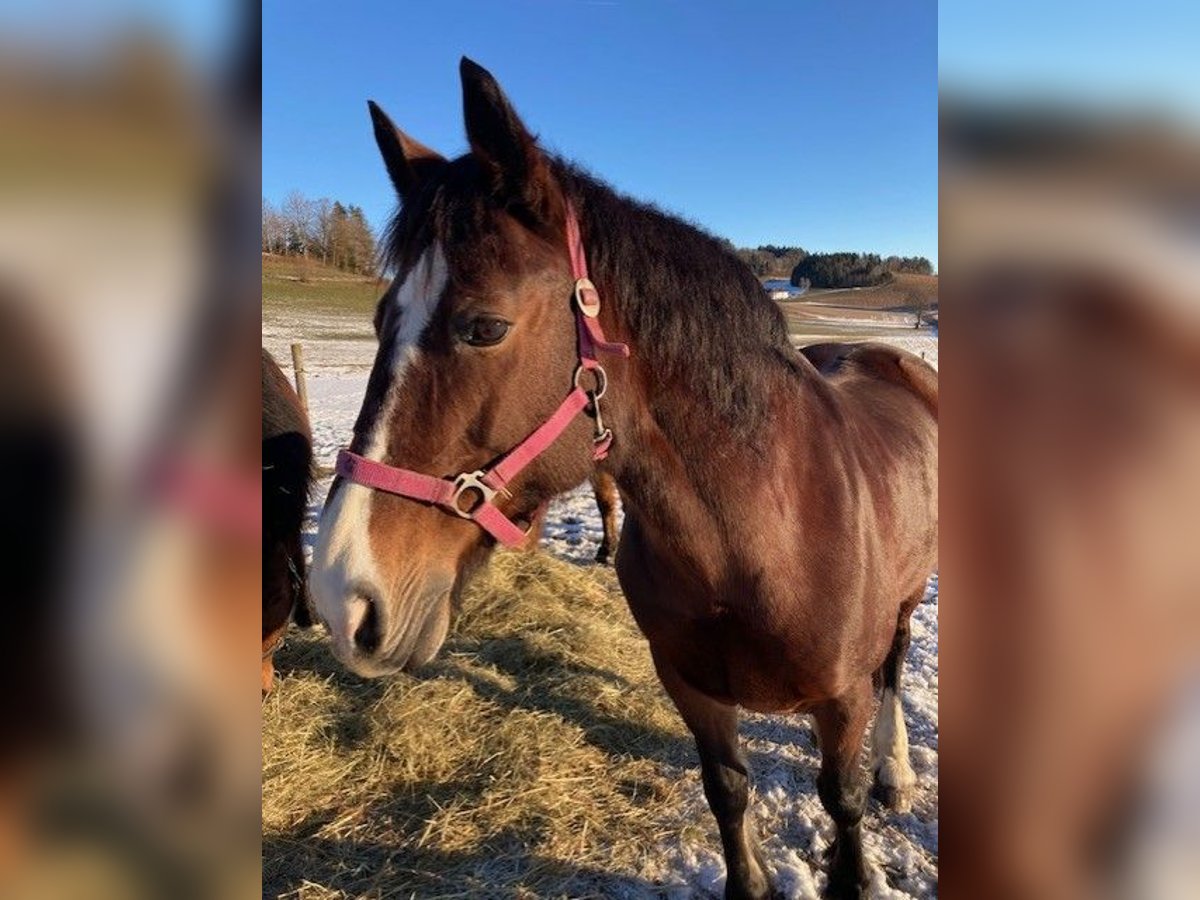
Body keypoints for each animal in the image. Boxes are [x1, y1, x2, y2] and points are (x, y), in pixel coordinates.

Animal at [312, 60, 936, 897]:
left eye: (484, 326)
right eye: (380, 321)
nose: (341, 595)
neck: (762, 539)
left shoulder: (840, 701)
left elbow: (842, 802)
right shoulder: (689, 686)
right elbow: (728, 791)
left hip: (908, 597)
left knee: (896, 664)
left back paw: (895, 769)